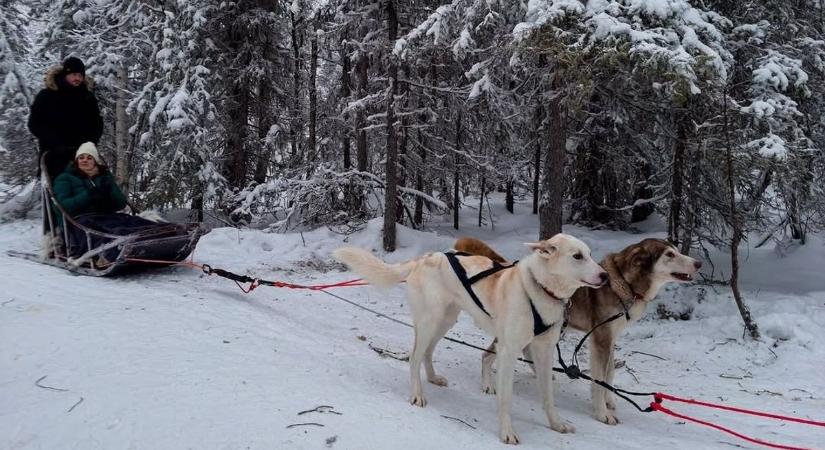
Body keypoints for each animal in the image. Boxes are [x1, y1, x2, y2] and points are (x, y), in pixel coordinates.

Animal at [332, 234, 608, 444]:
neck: (540, 290)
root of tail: (426, 258)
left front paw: (556, 424)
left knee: (427, 353)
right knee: (414, 357)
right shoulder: (508, 353)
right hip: (429, 322)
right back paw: (417, 394)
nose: (605, 276)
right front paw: (507, 432)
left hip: (444, 322)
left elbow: (548, 397)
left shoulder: (544, 351)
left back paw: (433, 378)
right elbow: (505, 398)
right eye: (577, 256)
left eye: (590, 254)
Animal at [454, 237, 700, 424]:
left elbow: (609, 373)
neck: (624, 285)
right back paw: (488, 384)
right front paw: (603, 413)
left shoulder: (610, 339)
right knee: (487, 355)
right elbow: (599, 380)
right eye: (669, 254)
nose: (698, 263)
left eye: (676, 250)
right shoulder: (601, 339)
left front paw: (609, 400)